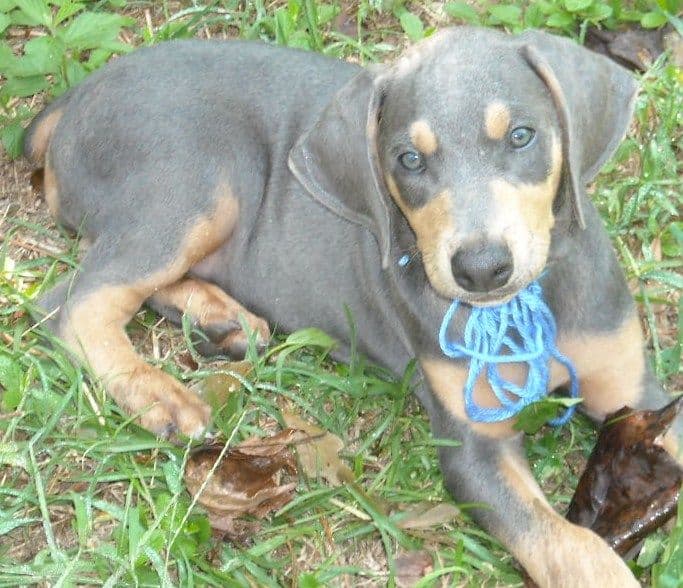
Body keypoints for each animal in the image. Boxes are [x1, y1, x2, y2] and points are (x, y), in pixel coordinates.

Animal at [24, 26, 680, 584]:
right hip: (195, 182)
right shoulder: (474, 449)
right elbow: (566, 542)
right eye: (408, 160)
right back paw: (157, 393)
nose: (480, 269)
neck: (519, 309)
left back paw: (221, 319)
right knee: (71, 303)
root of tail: (76, 95)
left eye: (522, 135)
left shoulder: (638, 391)